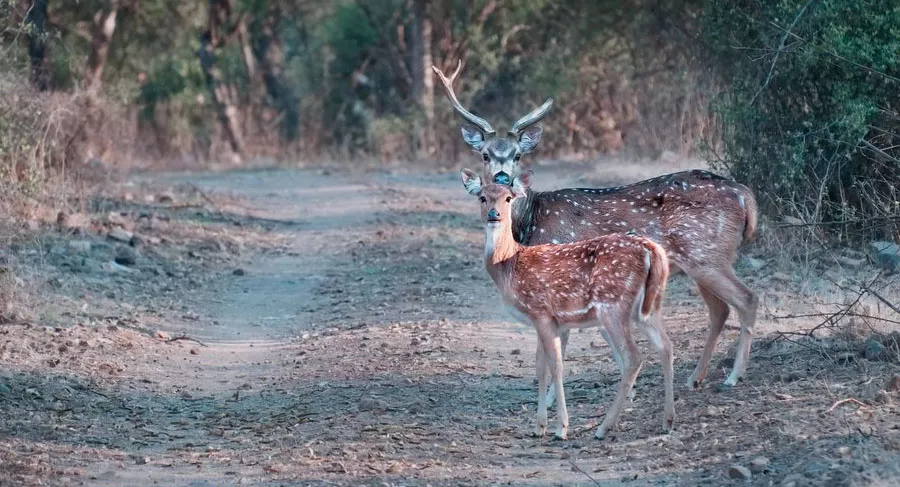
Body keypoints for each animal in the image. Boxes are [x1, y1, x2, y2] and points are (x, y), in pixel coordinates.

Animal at [434, 62, 759, 397]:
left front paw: (552, 399)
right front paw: (628, 391)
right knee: (720, 310)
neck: (529, 223)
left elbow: (559, 346)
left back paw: (733, 376)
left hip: (707, 255)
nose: (502, 178)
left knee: (747, 299)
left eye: (517, 155)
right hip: (701, 261)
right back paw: (695, 378)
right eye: (485, 153)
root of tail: (744, 194)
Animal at [462, 169, 675, 440]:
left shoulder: (542, 311)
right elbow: (540, 367)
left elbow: (556, 365)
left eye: (508, 198)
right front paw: (539, 426)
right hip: (648, 306)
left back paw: (604, 427)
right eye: (482, 197)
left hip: (613, 305)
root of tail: (651, 250)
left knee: (633, 357)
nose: (493, 214)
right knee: (666, 346)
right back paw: (667, 420)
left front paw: (560, 428)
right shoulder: (545, 320)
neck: (508, 265)